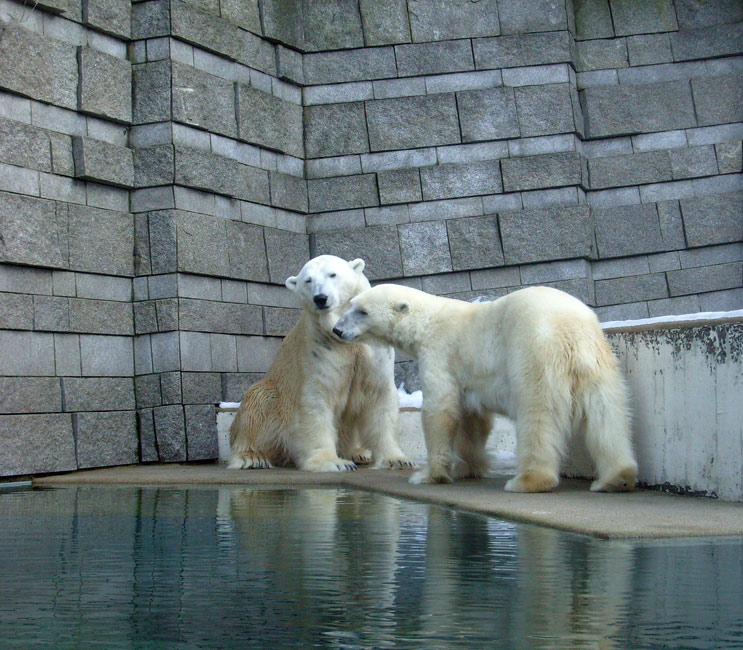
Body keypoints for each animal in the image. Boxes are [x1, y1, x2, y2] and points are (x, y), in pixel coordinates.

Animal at [228, 256, 412, 474]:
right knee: (257, 405)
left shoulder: (373, 349)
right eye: (308, 280)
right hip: (274, 397)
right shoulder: (320, 346)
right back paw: (251, 457)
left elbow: (379, 396)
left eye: (332, 274)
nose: (320, 298)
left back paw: (359, 453)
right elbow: (317, 399)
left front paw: (397, 459)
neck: (343, 336)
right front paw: (334, 462)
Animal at [334, 284, 636, 492]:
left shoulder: (440, 352)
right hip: (597, 359)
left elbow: (440, 410)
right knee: (606, 414)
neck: (428, 321)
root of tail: (570, 328)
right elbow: (472, 418)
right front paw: (468, 467)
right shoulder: (470, 376)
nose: (337, 329)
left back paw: (527, 481)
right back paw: (616, 478)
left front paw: (428, 475)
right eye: (351, 304)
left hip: (534, 352)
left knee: (537, 416)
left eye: (362, 311)